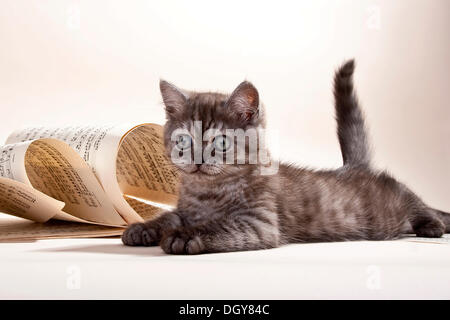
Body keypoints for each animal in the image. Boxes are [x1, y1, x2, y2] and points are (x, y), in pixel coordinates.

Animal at [121, 59, 448, 255]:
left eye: (221, 142)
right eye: (183, 140)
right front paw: (143, 228)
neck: (208, 192)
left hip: (391, 205)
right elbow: (169, 216)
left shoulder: (259, 223)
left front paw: (184, 236)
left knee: (417, 202)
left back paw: (434, 225)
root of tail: (356, 167)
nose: (198, 160)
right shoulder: (186, 209)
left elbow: (219, 226)